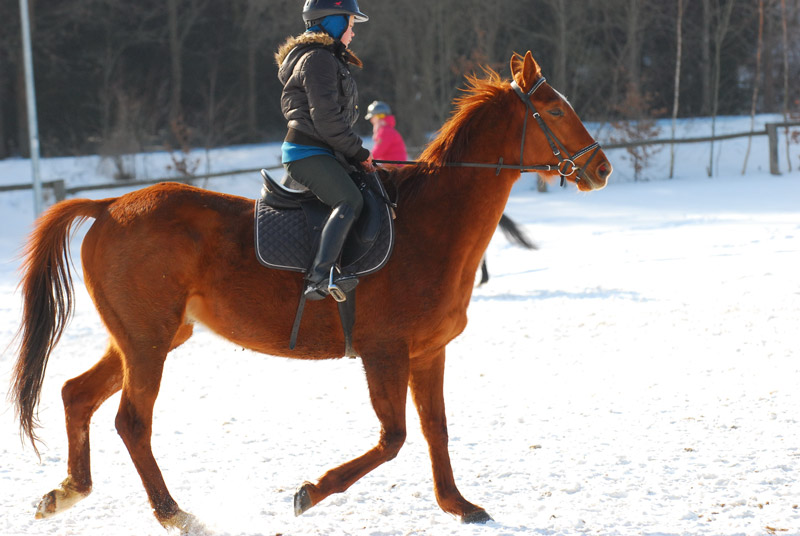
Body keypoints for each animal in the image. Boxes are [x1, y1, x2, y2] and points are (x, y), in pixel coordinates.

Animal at [10, 51, 612, 532]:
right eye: (555, 111)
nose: (602, 168)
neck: (429, 226)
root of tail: (108, 205)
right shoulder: (384, 352)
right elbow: (393, 438)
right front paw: (310, 492)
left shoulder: (428, 353)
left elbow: (435, 429)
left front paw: (458, 505)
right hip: (147, 342)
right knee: (131, 422)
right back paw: (174, 513)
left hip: (148, 338)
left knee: (77, 394)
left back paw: (66, 493)